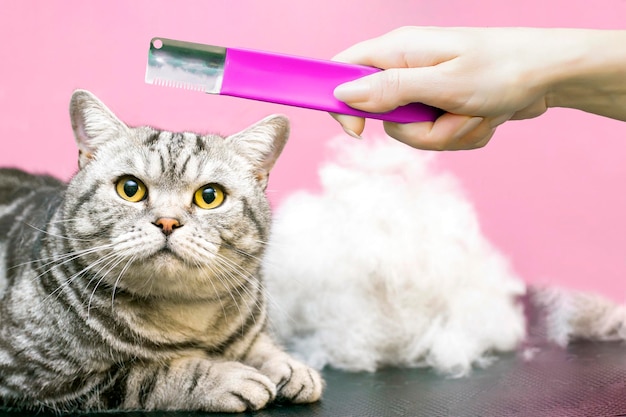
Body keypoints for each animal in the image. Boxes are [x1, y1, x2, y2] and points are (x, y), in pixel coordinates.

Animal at [0, 89, 322, 412]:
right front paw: (227, 376)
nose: (168, 221)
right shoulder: (40, 378)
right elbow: (152, 374)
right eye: (130, 188)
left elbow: (259, 344)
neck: (186, 313)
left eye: (209, 196)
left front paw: (289, 365)